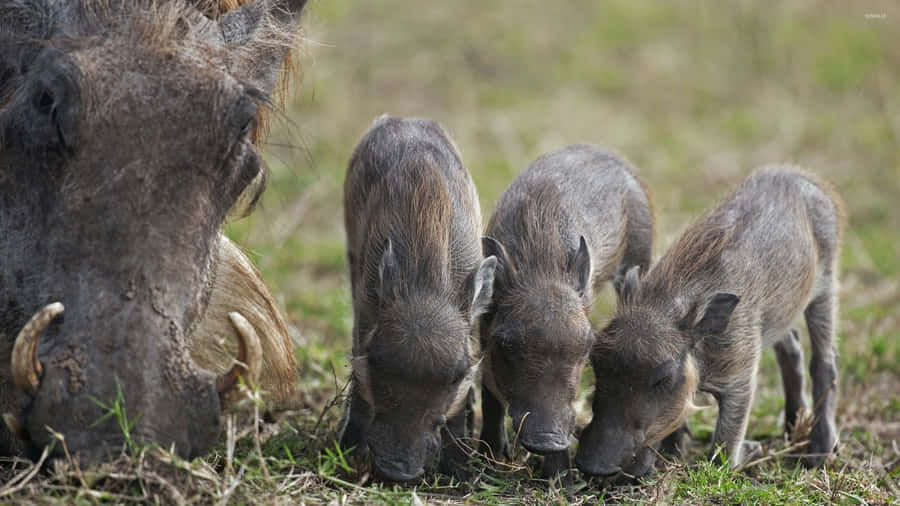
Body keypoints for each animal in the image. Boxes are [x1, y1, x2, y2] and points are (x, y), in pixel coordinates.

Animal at [338, 116, 497, 482]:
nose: (397, 471)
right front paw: (346, 458)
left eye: (456, 374)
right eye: (377, 359)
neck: (426, 284)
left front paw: (460, 473)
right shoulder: (366, 314)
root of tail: (401, 119)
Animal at [479, 145, 654, 478]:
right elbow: (489, 393)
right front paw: (489, 458)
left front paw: (560, 480)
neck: (542, 265)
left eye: (588, 343)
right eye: (506, 343)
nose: (547, 440)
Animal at [577, 166, 843, 477]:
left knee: (824, 360)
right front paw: (671, 454)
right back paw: (792, 429)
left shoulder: (740, 375)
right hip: (781, 313)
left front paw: (749, 452)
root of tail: (798, 175)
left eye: (664, 379)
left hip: (825, 286)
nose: (592, 465)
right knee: (792, 347)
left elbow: (724, 447)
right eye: (597, 364)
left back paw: (820, 451)